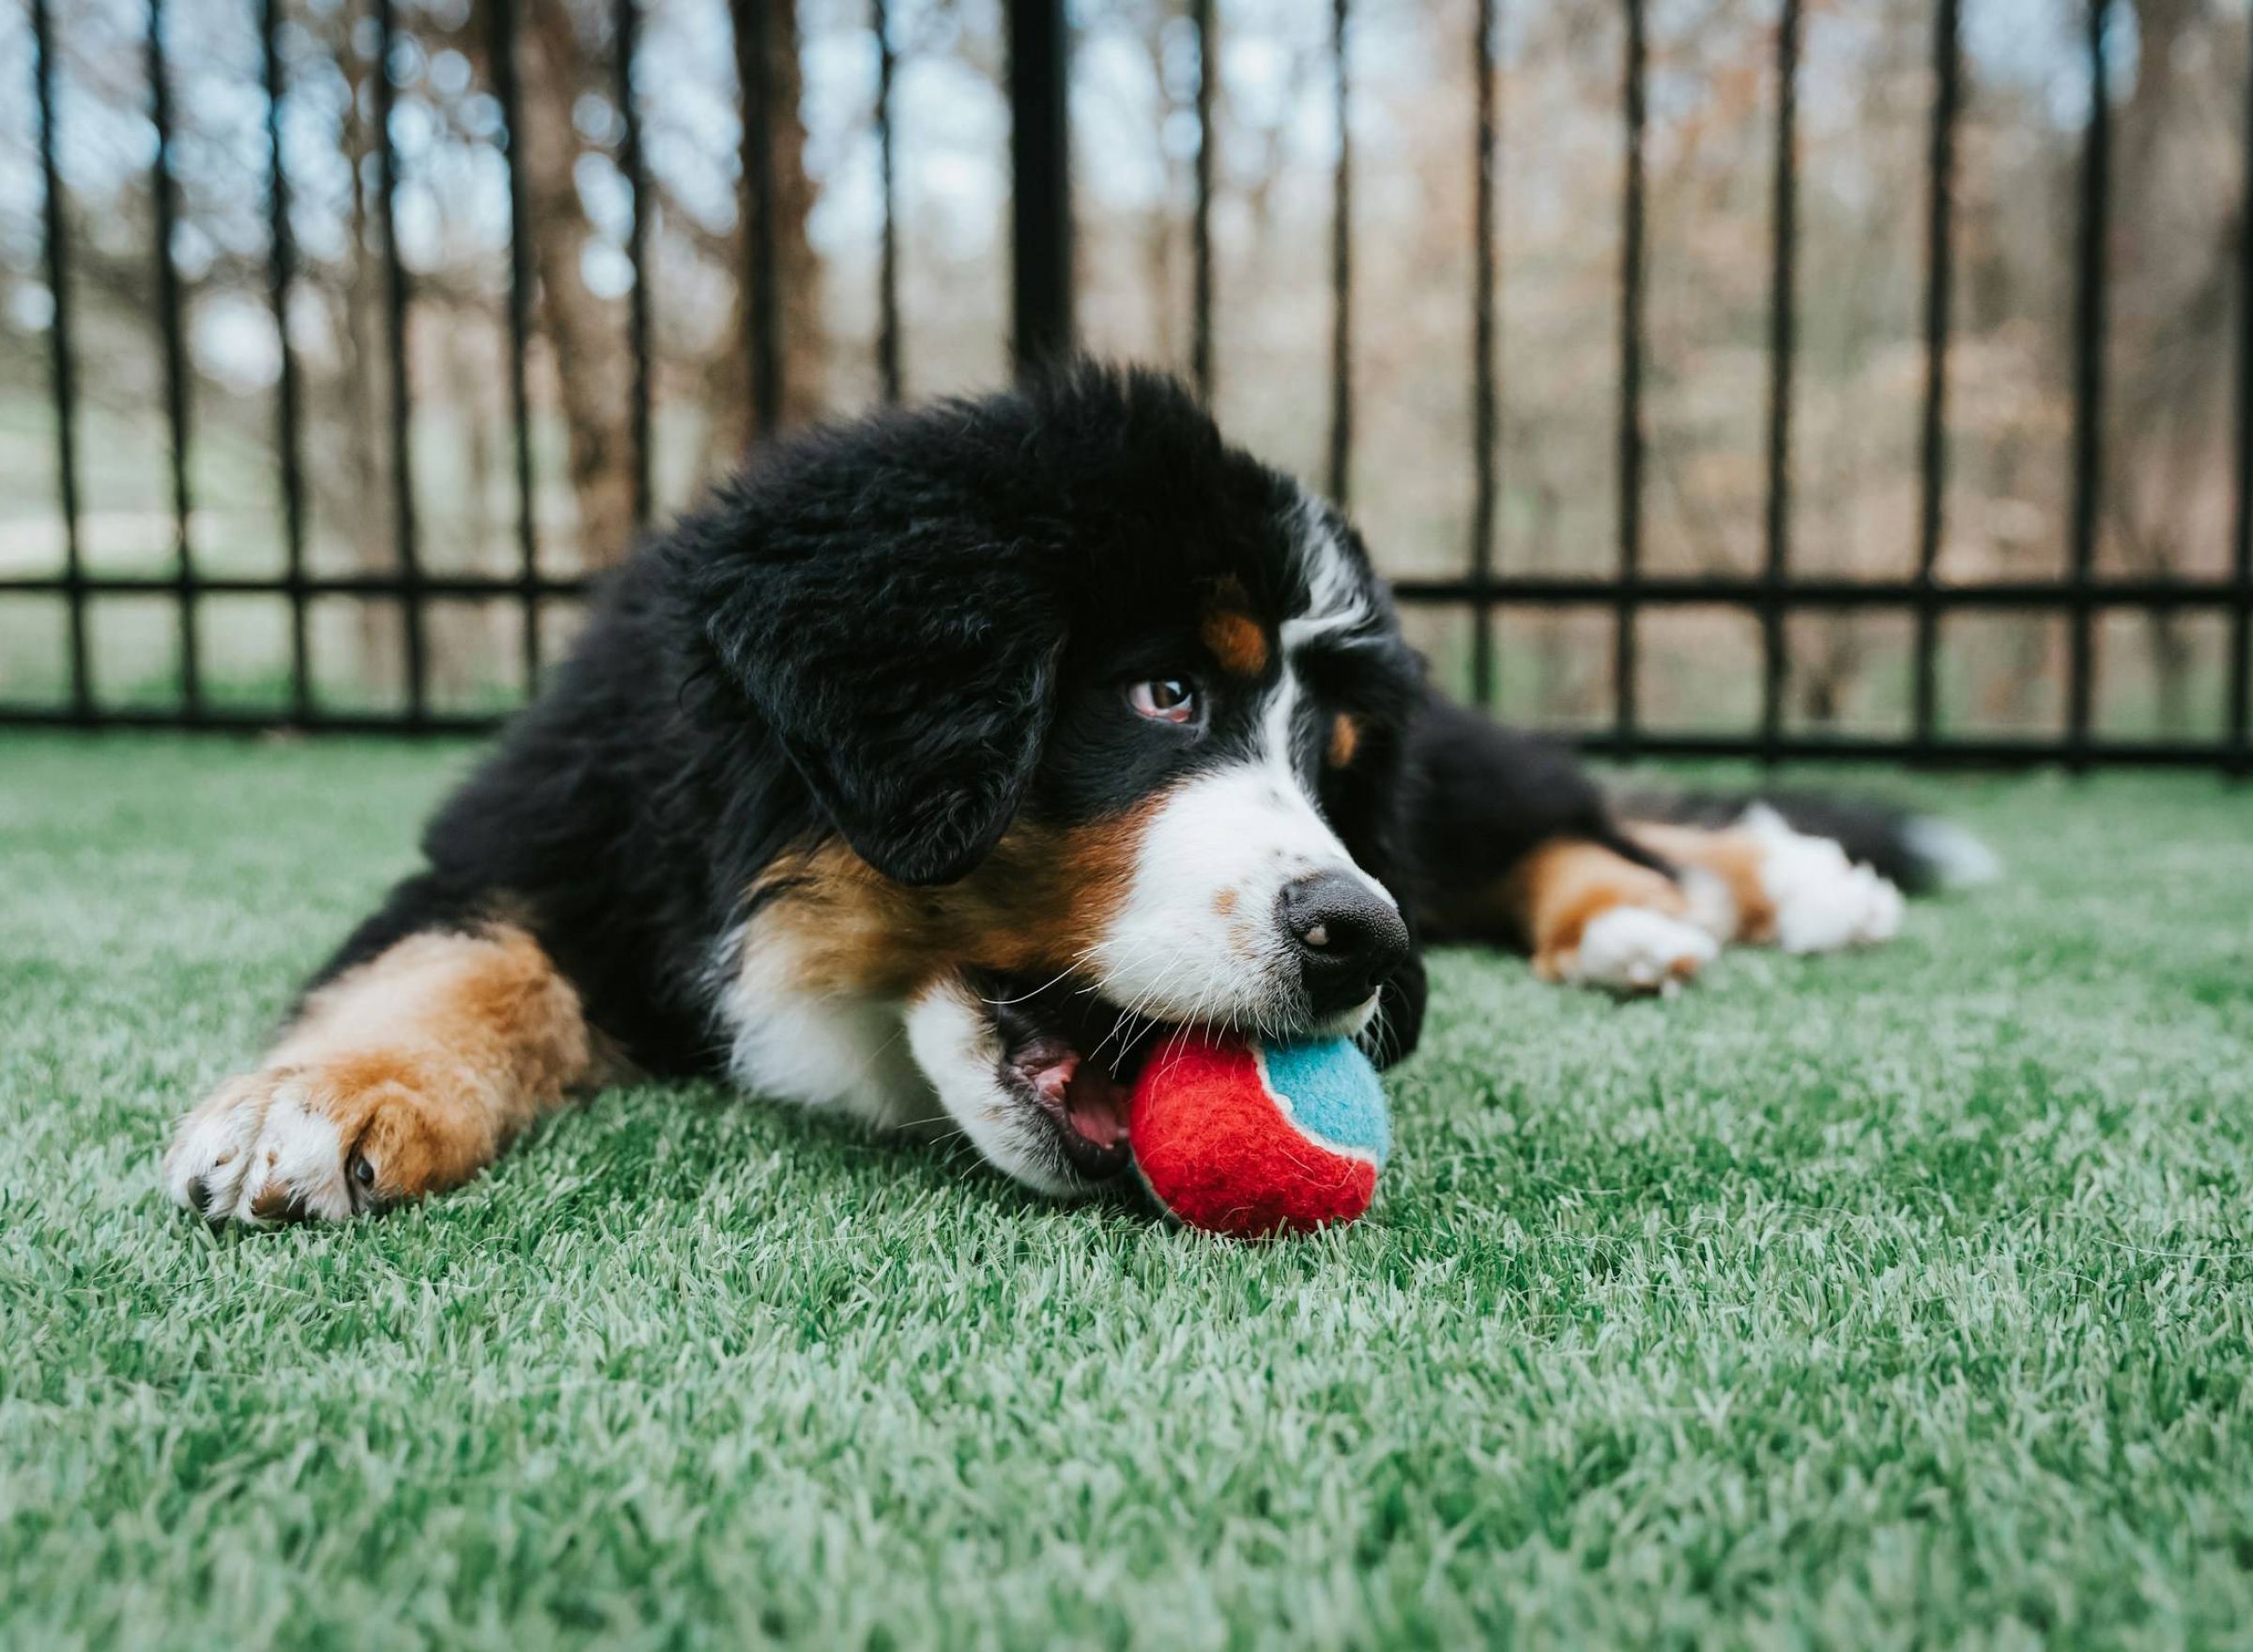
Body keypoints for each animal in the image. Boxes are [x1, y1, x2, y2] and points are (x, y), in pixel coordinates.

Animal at [163, 364, 1991, 1226]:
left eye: (1325, 761)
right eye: (1163, 692)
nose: (1357, 940)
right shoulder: (555, 822)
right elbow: (459, 956)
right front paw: (313, 1103)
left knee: (1560, 812)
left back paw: (1724, 900)